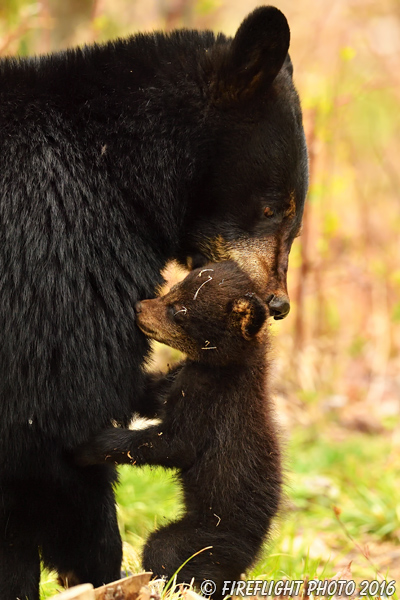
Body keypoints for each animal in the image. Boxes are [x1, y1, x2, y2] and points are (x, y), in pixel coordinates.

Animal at [78, 260, 282, 596]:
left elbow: (173, 445)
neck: (221, 368)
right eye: (173, 290)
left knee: (166, 551)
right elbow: (155, 393)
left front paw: (91, 444)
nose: (138, 307)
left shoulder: (212, 403)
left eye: (178, 311)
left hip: (205, 537)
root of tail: (249, 554)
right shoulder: (183, 380)